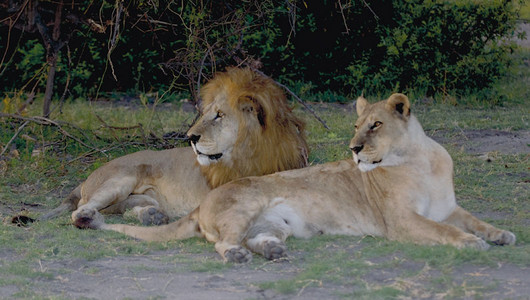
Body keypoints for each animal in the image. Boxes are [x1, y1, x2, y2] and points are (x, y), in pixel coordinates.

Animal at [41, 68, 308, 227]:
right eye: (206, 113)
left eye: (219, 115)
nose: (190, 137)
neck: (250, 154)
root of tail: (86, 179)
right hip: (120, 179)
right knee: (81, 210)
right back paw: (95, 218)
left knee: (117, 209)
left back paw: (152, 215)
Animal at [80, 94, 512, 262]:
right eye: (357, 125)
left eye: (375, 125)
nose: (354, 149)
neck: (420, 160)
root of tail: (202, 205)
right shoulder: (402, 220)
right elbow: (445, 231)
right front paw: (471, 243)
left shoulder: (448, 207)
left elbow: (476, 220)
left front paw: (501, 234)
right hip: (245, 205)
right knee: (223, 241)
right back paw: (238, 255)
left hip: (275, 222)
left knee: (254, 238)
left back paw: (273, 250)